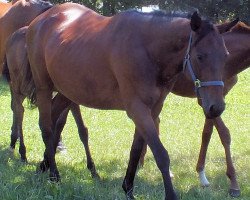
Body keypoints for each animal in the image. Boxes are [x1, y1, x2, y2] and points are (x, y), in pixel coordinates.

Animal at [25, 1, 232, 198]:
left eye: (225, 56)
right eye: (200, 56)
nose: (217, 107)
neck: (148, 50)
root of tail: (42, 18)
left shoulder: (152, 109)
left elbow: (136, 150)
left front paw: (128, 189)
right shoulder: (137, 109)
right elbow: (161, 154)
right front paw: (170, 194)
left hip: (66, 93)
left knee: (54, 121)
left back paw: (43, 166)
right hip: (44, 88)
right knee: (46, 128)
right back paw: (54, 175)